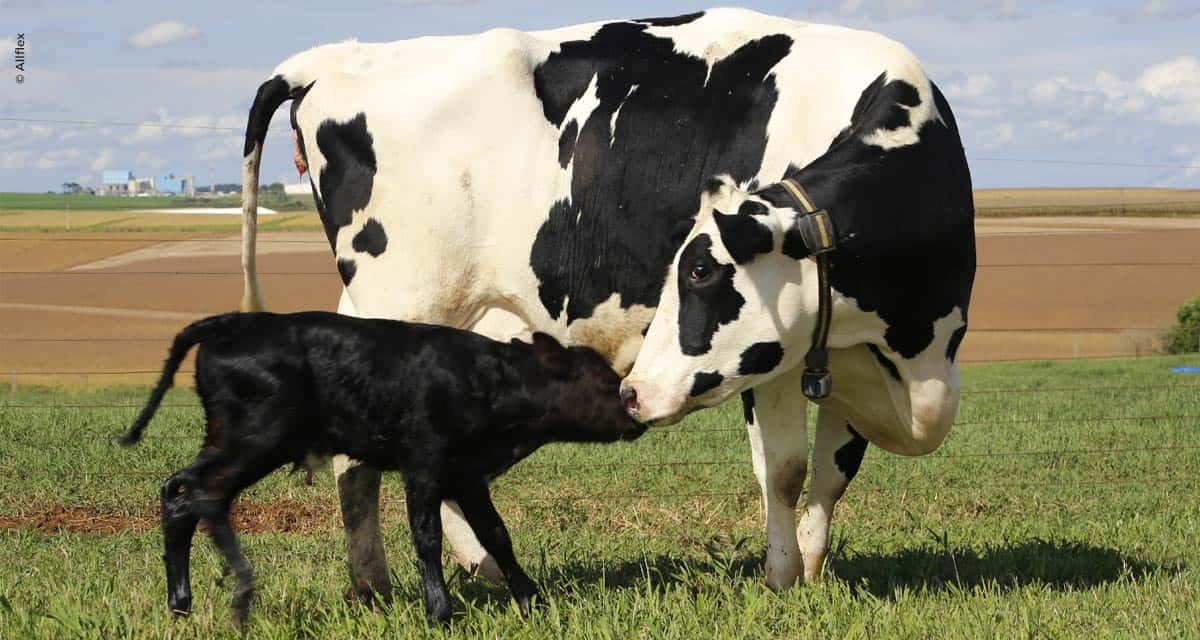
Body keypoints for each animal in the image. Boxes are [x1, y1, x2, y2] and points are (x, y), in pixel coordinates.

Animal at [119, 312, 648, 624]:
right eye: (603, 381)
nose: (634, 410)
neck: (486, 378)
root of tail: (229, 323)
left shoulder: (467, 475)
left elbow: (497, 534)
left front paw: (530, 600)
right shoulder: (424, 465)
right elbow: (426, 536)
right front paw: (440, 612)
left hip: (232, 441)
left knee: (179, 493)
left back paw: (180, 602)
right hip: (254, 440)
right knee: (201, 495)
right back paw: (241, 593)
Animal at [241, 7, 974, 597]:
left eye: (699, 271)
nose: (633, 393)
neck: (913, 345)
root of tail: (330, 59)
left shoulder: (849, 356)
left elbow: (833, 474)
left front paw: (817, 572)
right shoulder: (780, 364)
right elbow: (788, 471)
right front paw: (784, 579)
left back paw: (465, 571)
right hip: (405, 304)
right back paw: (376, 583)